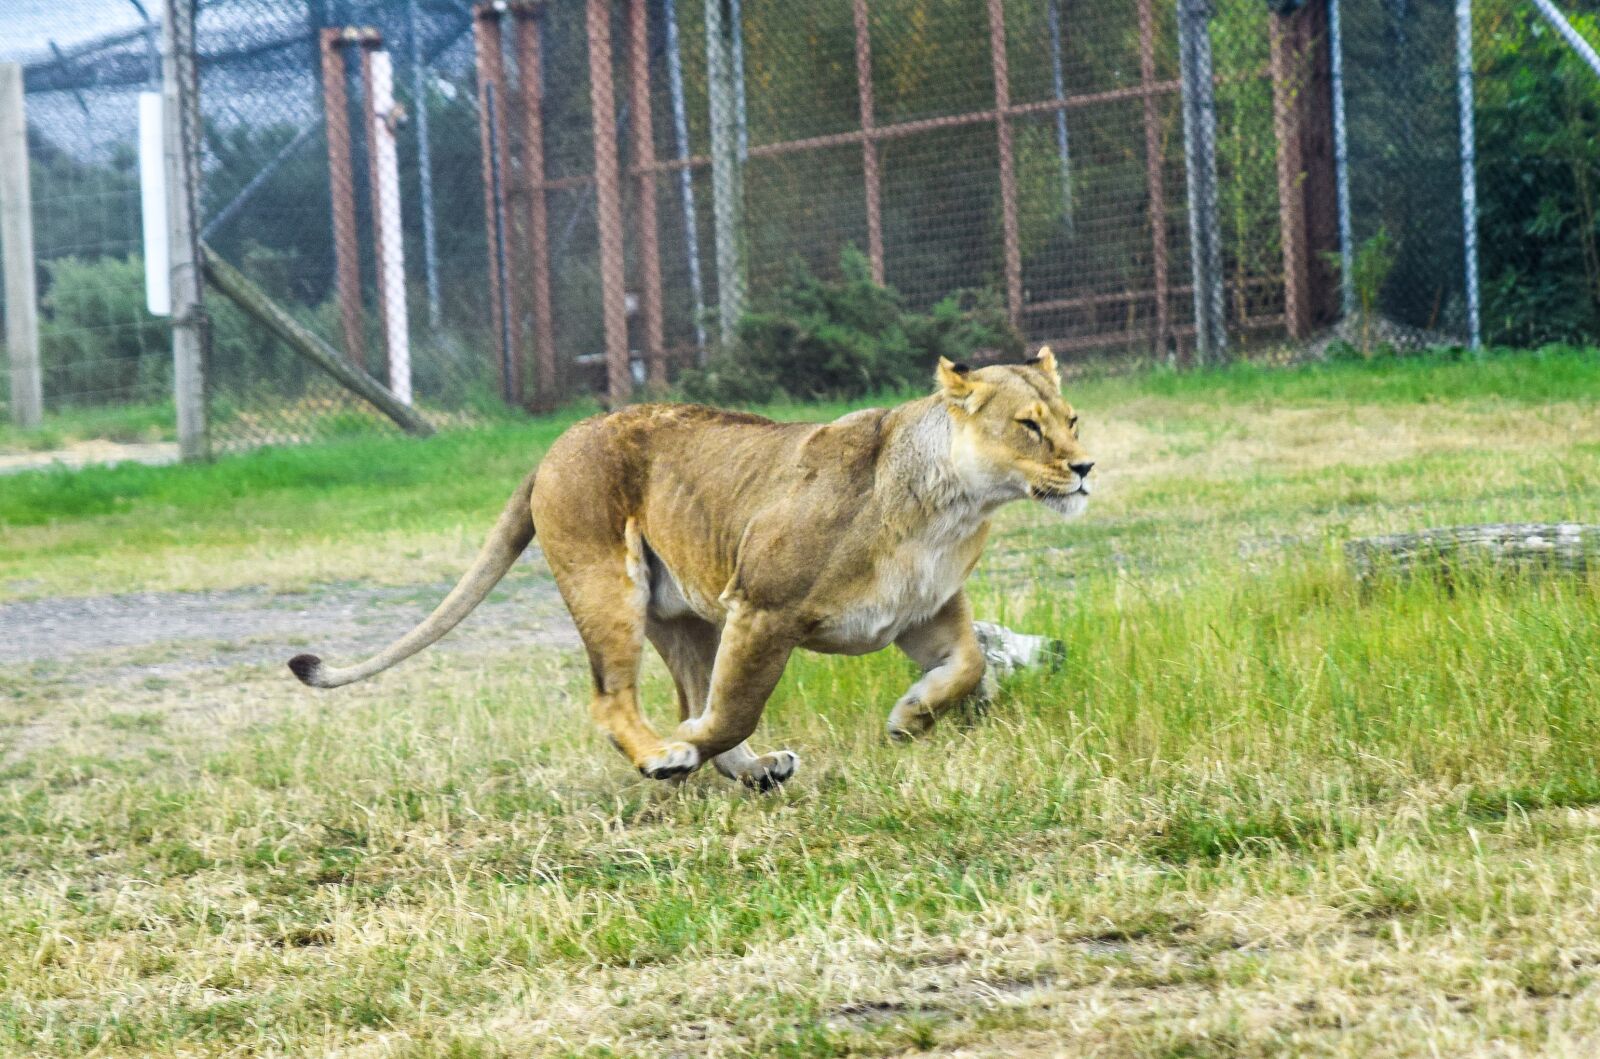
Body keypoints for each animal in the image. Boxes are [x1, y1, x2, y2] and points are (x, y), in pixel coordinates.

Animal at [289, 348, 1095, 789]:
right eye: (1028, 426)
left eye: (1072, 420)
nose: (1086, 468)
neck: (953, 507)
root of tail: (555, 443)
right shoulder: (764, 607)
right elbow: (732, 707)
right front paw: (678, 753)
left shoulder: (924, 612)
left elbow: (967, 666)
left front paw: (908, 718)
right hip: (609, 588)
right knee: (614, 700)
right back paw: (665, 756)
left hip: (682, 617)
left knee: (683, 685)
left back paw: (758, 771)